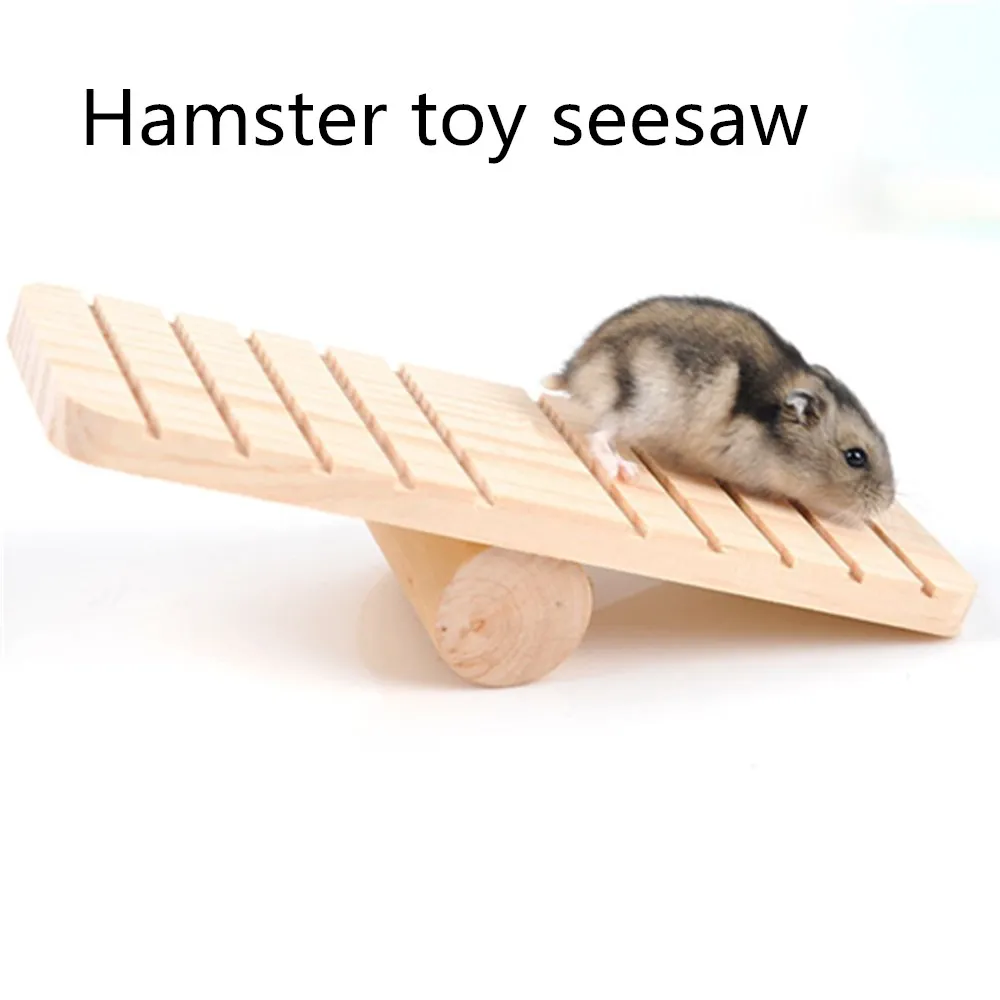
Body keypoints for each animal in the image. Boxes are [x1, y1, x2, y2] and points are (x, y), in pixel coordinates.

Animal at [542, 295, 895, 524]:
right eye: (855, 457)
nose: (888, 502)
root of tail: (575, 371)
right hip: (641, 407)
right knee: (599, 436)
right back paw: (624, 471)